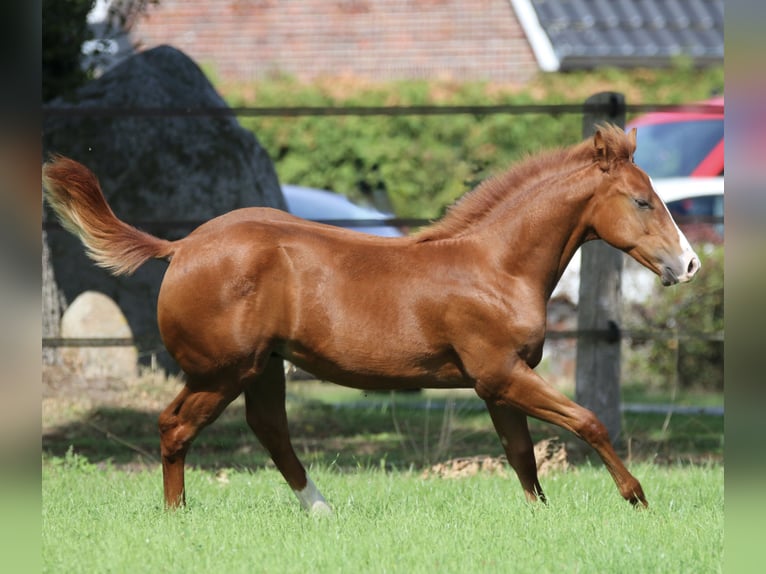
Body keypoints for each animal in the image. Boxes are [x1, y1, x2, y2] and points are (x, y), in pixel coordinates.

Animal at [42, 124, 700, 512]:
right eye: (642, 201)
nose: (690, 263)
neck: (496, 266)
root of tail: (181, 247)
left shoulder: (499, 384)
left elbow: (522, 455)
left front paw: (541, 518)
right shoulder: (501, 375)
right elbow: (588, 422)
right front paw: (637, 498)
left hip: (262, 368)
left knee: (269, 430)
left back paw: (321, 511)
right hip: (219, 371)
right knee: (175, 427)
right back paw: (178, 516)